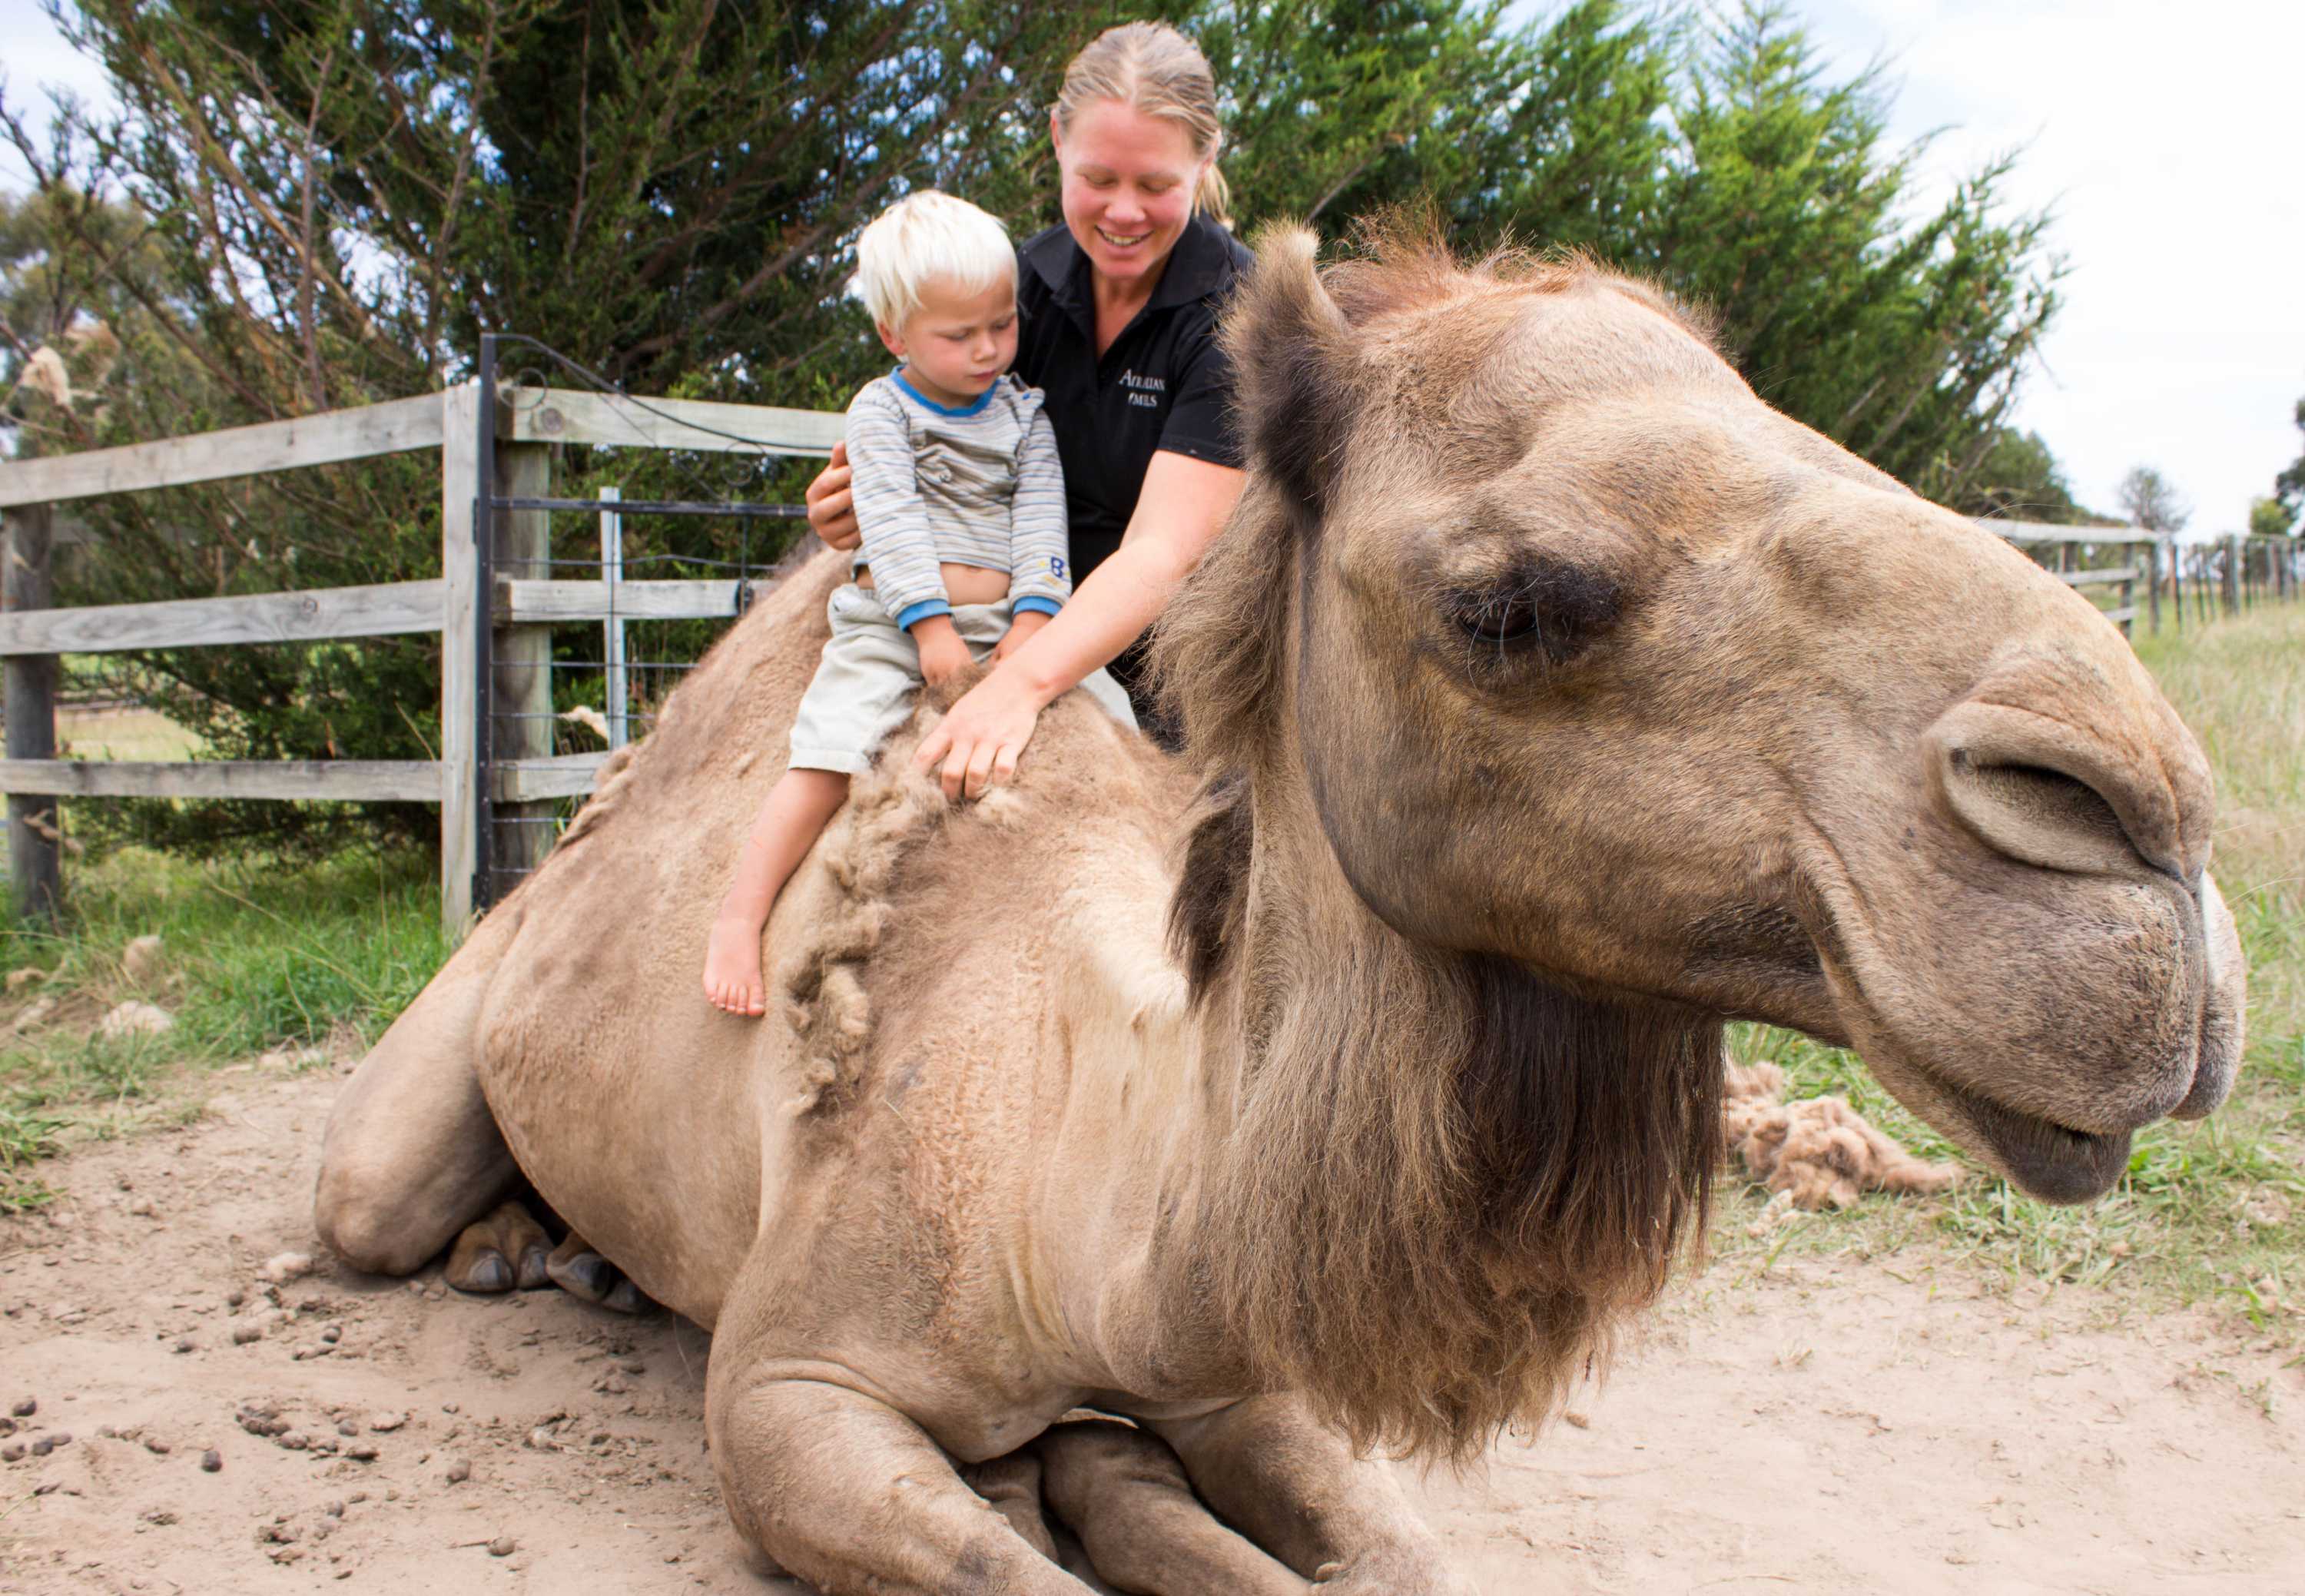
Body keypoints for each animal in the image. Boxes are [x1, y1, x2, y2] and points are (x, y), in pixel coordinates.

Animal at [312, 219, 2245, 1594]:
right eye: (1508, 603)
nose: (2146, 834)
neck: (1085, 1177)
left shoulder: (1230, 1376)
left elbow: (1371, 1548)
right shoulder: (790, 1401)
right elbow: (1001, 1553)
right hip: (405, 1123)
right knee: (373, 1193)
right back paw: (519, 1247)